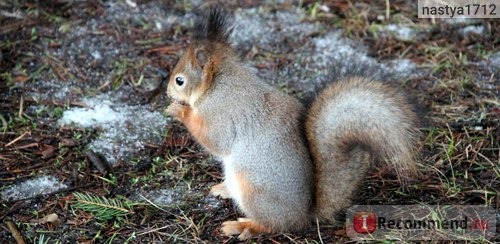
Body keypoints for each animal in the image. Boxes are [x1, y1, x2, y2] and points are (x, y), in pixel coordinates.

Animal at [165, 8, 422, 240]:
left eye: (180, 81)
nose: (167, 92)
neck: (219, 82)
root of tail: (303, 216)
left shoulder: (220, 113)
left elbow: (214, 139)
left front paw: (179, 110)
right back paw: (224, 189)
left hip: (253, 189)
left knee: (273, 225)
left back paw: (243, 226)